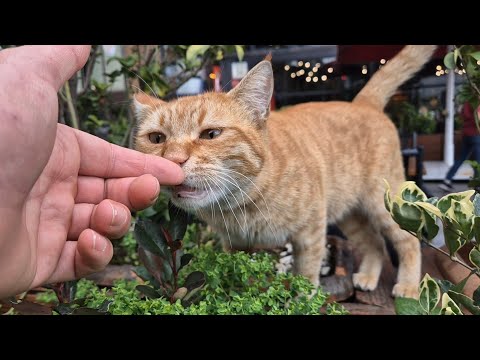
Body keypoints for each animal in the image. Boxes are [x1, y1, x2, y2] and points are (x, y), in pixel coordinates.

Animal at [134, 45, 436, 298]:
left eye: (211, 134)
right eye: (157, 138)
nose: (174, 159)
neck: (243, 205)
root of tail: (362, 102)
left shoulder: (311, 231)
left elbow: (306, 274)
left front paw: (303, 299)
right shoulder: (235, 246)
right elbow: (238, 277)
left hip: (384, 203)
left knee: (408, 240)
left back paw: (409, 287)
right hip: (349, 213)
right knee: (375, 243)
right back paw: (369, 276)